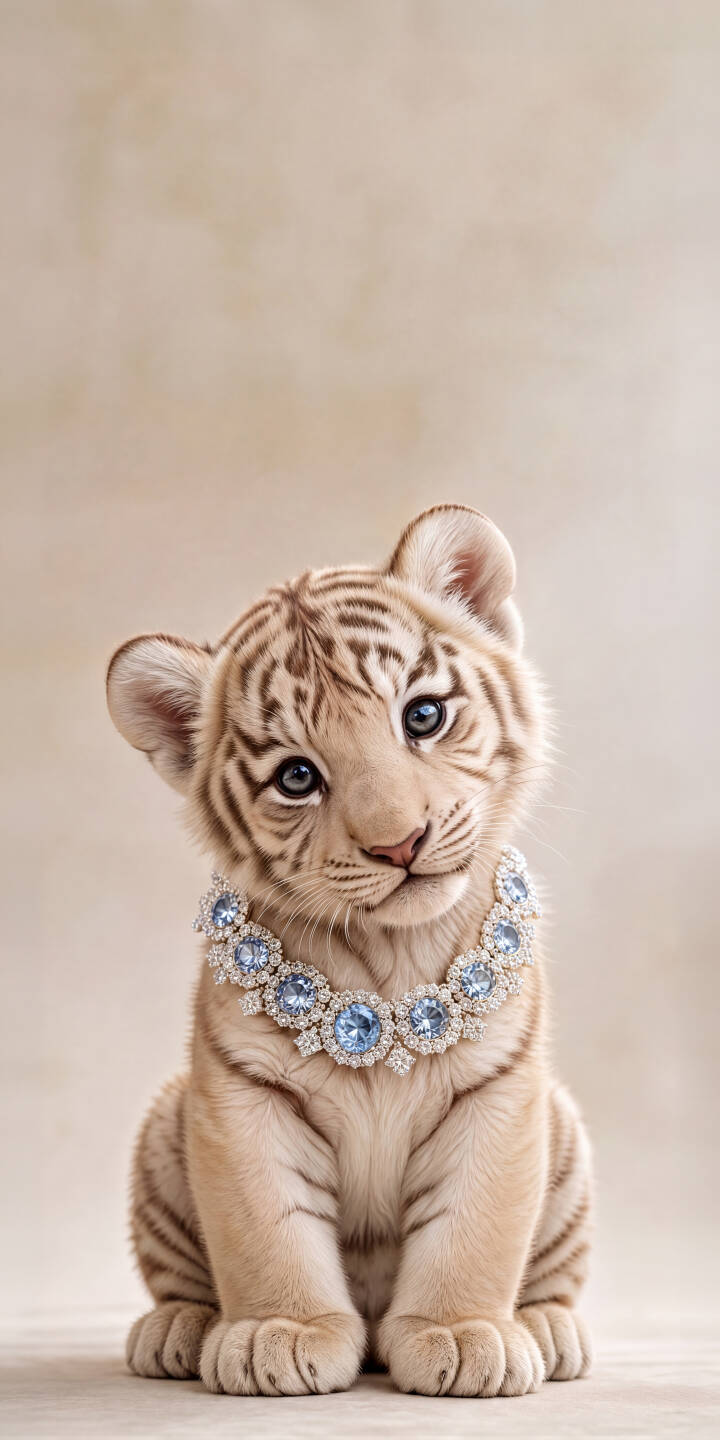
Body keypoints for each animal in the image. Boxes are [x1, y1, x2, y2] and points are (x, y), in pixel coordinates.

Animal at [107, 503, 593, 1398]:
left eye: (423, 716)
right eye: (297, 778)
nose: (400, 843)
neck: (389, 962)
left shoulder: (500, 1095)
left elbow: (476, 1228)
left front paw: (461, 1332)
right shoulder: (242, 1097)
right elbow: (265, 1230)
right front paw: (281, 1332)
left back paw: (546, 1328)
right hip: (164, 1128)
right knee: (179, 1279)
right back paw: (179, 1329)